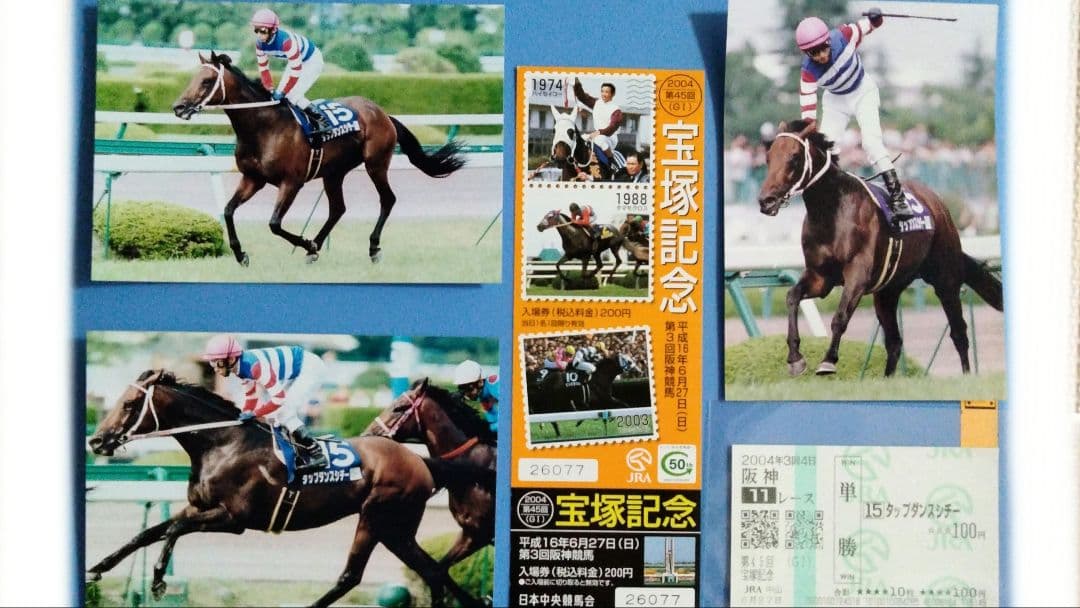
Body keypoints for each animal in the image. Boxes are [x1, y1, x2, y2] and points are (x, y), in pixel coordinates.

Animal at [171, 52, 465, 266]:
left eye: (207, 81)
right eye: (193, 78)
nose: (178, 107)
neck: (264, 126)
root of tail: (382, 113)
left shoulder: (291, 182)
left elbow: (274, 224)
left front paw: (305, 243)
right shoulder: (253, 179)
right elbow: (228, 211)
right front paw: (241, 254)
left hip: (376, 164)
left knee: (387, 199)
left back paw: (371, 248)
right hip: (334, 173)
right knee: (338, 209)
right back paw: (316, 247)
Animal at [756, 119, 1003, 377]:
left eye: (794, 157)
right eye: (768, 157)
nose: (766, 201)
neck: (831, 211)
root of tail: (937, 203)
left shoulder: (857, 274)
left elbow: (840, 317)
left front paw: (828, 361)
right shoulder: (820, 277)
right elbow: (792, 297)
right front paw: (795, 358)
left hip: (946, 278)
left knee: (958, 333)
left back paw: (967, 375)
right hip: (888, 291)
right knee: (894, 342)